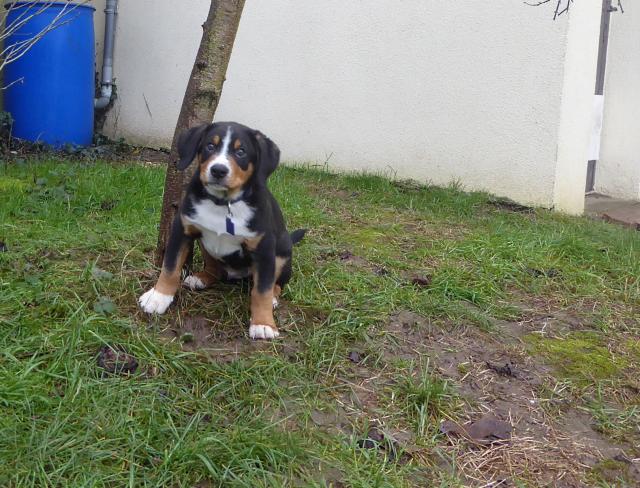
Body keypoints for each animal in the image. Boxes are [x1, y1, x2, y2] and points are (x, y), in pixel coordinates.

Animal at [139, 123, 308, 340]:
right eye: (210, 146)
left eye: (241, 151)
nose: (218, 170)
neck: (223, 202)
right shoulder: (182, 230)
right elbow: (170, 267)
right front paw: (158, 297)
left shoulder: (263, 247)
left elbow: (262, 289)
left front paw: (263, 323)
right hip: (205, 245)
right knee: (215, 269)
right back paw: (201, 278)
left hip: (282, 253)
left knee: (275, 283)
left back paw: (272, 299)